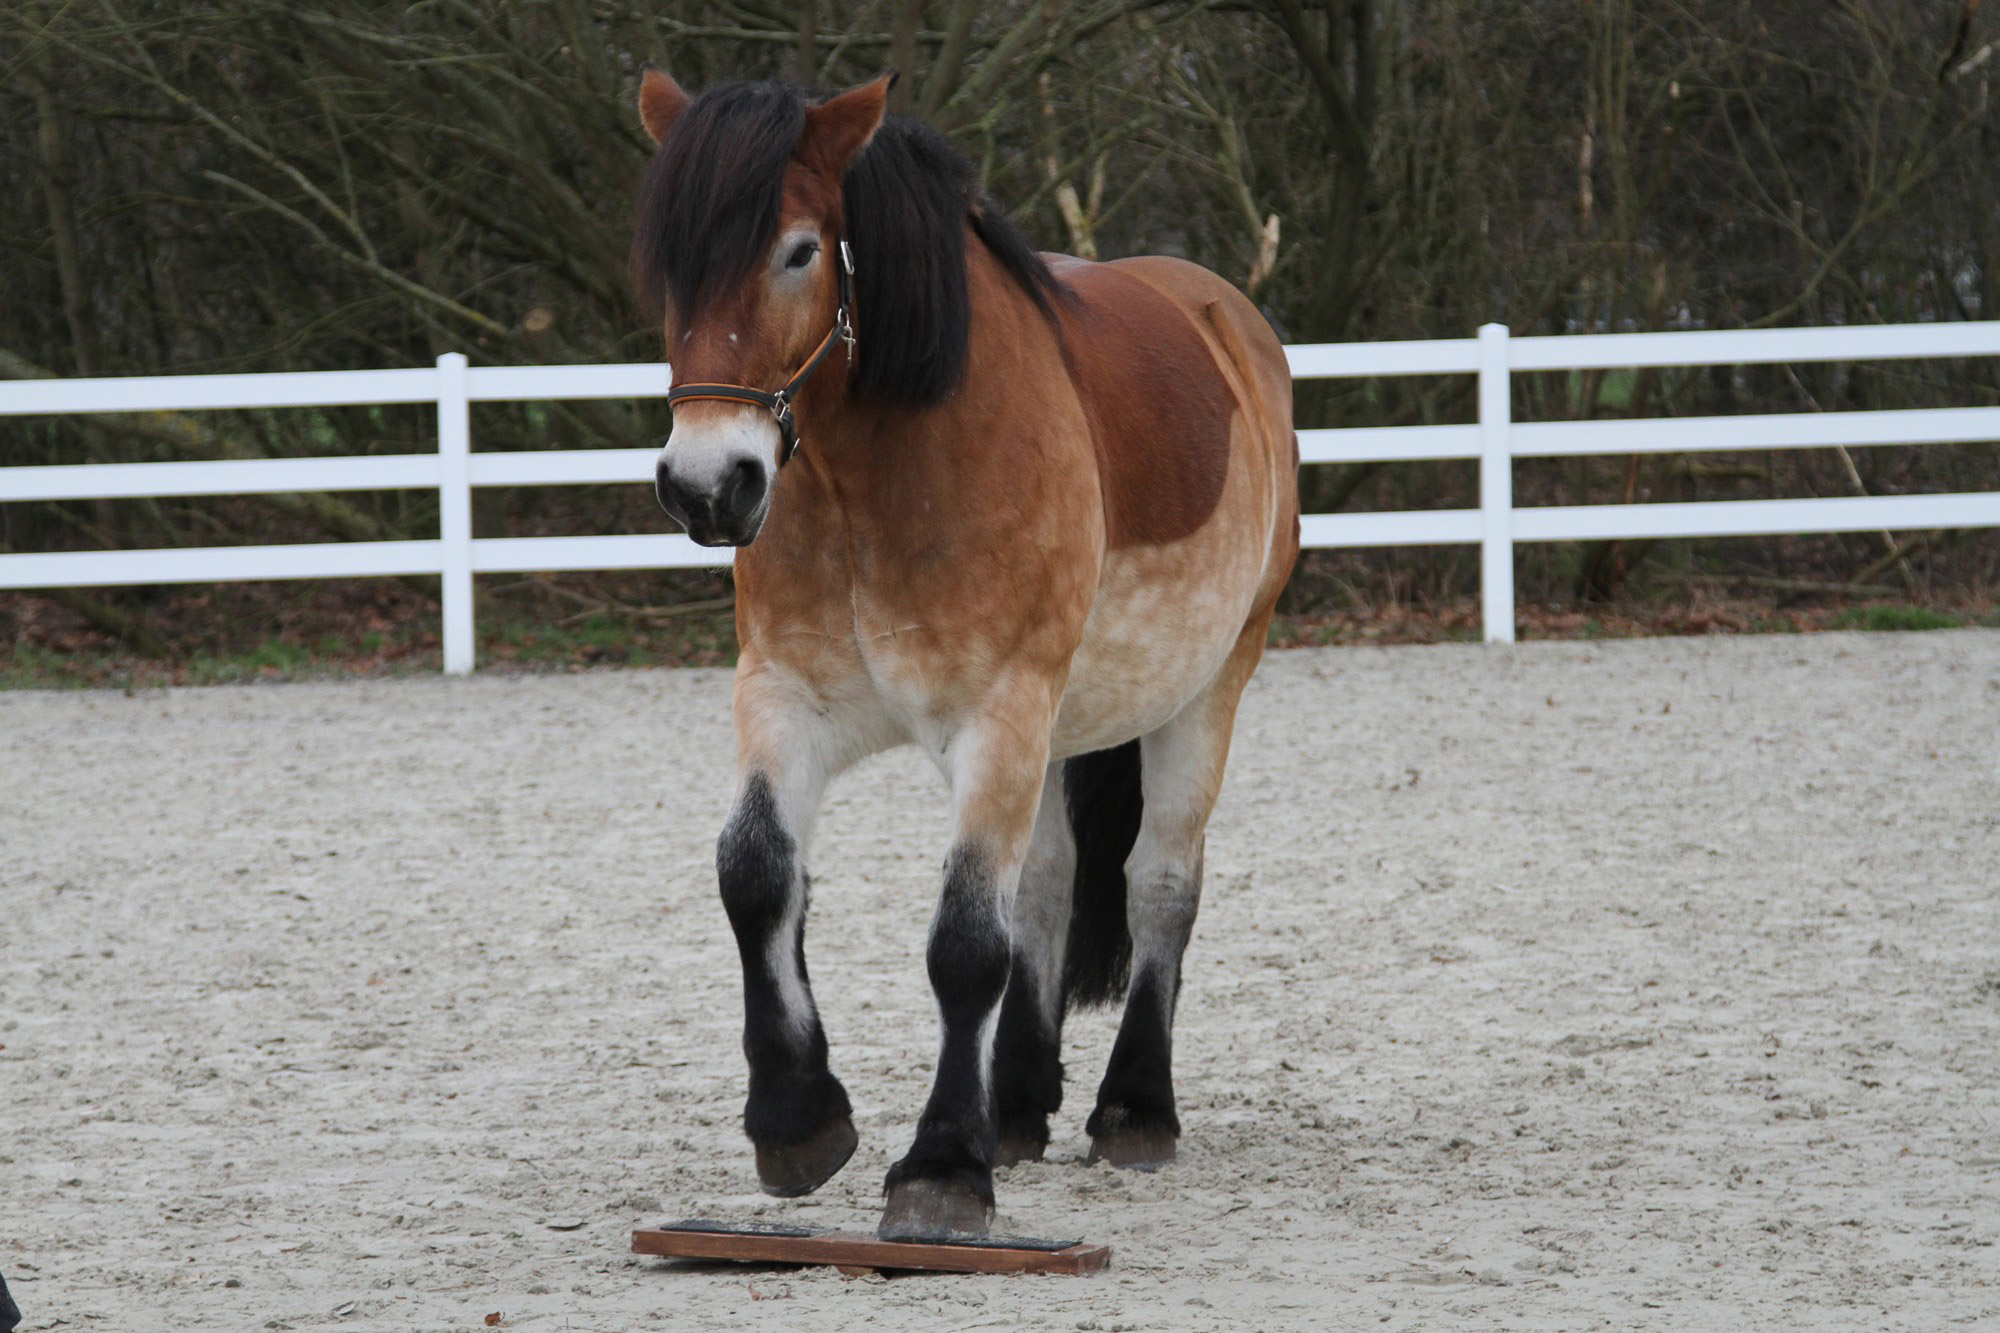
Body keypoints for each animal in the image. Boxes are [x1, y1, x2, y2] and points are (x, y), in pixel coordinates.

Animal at [632, 70, 1304, 1232]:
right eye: (671, 260)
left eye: (798, 250)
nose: (708, 486)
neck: (884, 473)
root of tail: (1226, 318)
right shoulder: (784, 697)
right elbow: (756, 874)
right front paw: (799, 1119)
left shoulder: (1000, 715)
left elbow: (963, 943)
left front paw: (941, 1165)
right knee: (1047, 885)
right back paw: (1020, 1102)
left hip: (1207, 686)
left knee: (1159, 881)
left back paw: (1135, 1107)